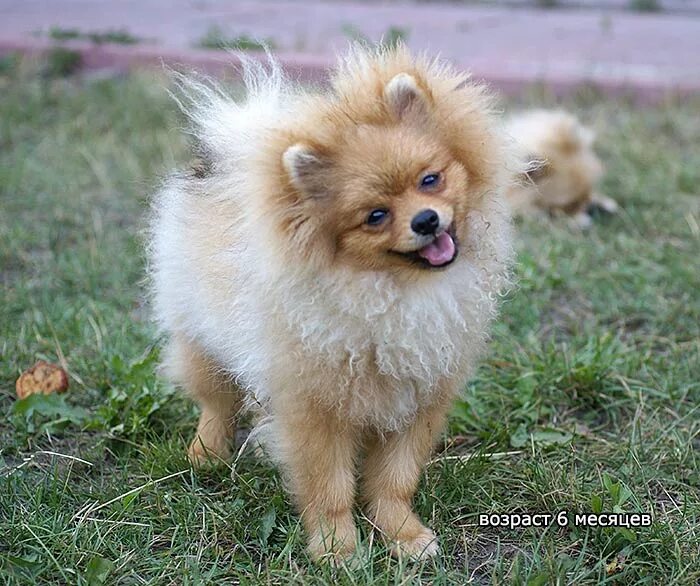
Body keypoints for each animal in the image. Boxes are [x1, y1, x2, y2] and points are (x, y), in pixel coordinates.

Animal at [150, 46, 512, 560]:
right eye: (375, 215)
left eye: (431, 179)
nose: (425, 220)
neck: (394, 292)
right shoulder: (317, 410)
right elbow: (329, 488)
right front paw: (337, 549)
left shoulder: (418, 400)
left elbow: (395, 480)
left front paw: (403, 534)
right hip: (203, 339)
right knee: (215, 402)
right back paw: (207, 455)